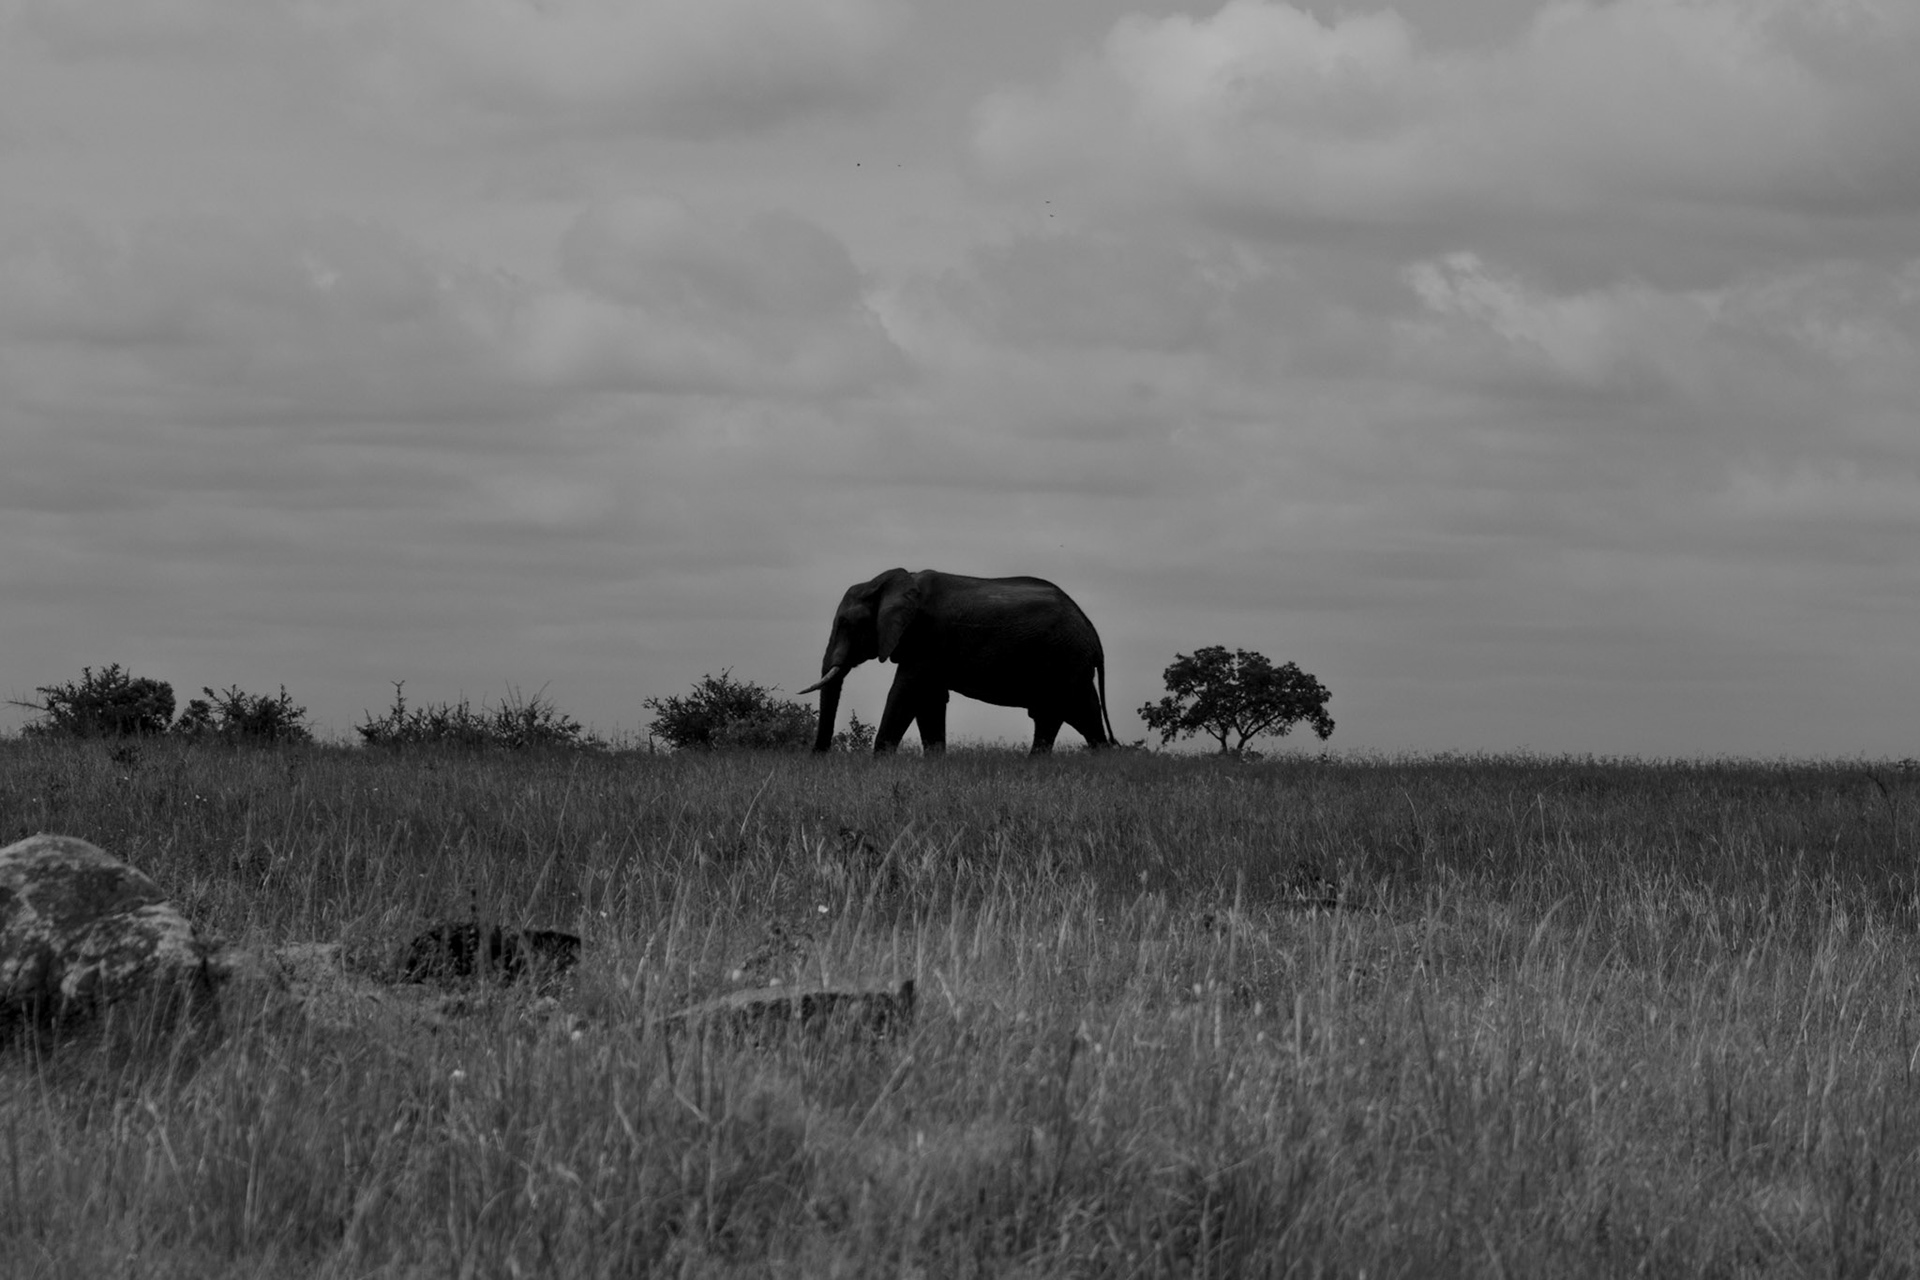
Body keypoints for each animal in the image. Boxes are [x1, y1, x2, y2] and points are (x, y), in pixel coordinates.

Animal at [801, 568, 1115, 754]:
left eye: (845, 624)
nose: (820, 756)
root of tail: (1094, 634)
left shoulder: (928, 636)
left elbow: (906, 692)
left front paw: (880, 760)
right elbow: (929, 698)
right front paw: (935, 761)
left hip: (1064, 659)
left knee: (1055, 713)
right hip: (1072, 663)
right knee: (1081, 713)